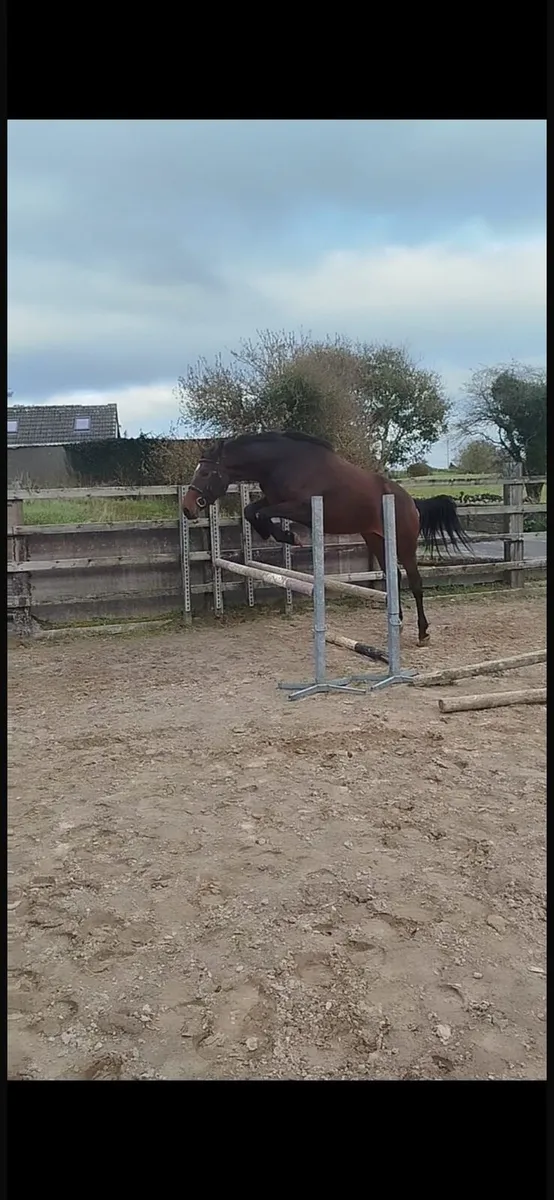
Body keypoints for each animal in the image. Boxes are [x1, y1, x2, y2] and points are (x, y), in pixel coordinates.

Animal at [181, 431, 472, 646]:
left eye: (205, 473)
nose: (187, 509)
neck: (282, 463)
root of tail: (411, 501)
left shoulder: (300, 507)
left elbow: (261, 513)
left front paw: (286, 535)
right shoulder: (275, 500)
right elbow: (251, 510)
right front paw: (275, 533)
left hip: (405, 543)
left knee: (415, 583)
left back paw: (423, 633)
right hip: (375, 539)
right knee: (393, 577)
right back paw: (396, 623)